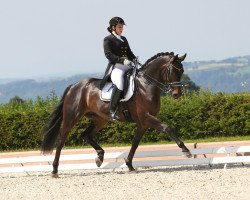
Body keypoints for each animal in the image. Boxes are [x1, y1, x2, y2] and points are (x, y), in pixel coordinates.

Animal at [42, 51, 192, 177]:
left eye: (182, 71)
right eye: (173, 70)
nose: (177, 94)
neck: (146, 85)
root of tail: (74, 86)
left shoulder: (143, 123)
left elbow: (135, 142)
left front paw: (129, 164)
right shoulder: (146, 117)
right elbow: (167, 128)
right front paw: (186, 151)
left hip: (100, 119)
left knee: (86, 135)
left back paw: (100, 157)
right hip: (71, 117)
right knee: (61, 140)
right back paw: (54, 170)